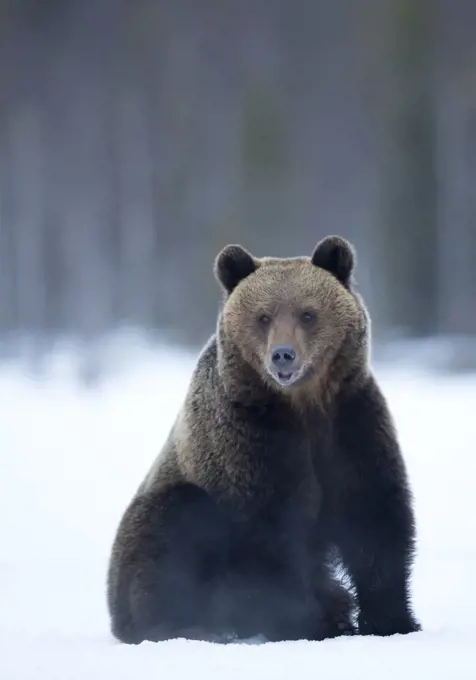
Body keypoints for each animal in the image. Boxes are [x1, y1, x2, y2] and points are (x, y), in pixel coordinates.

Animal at [107, 236, 420, 644]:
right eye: (264, 316)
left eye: (307, 314)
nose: (283, 355)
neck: (303, 405)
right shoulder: (251, 442)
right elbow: (273, 536)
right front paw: (315, 621)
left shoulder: (352, 424)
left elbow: (375, 518)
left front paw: (392, 620)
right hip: (155, 524)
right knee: (173, 524)